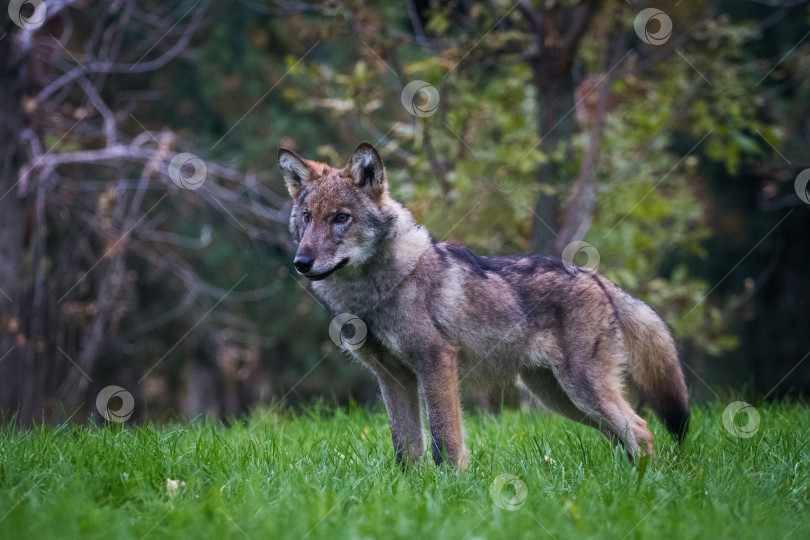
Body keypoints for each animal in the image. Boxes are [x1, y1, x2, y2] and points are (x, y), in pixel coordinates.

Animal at [278, 141, 688, 466]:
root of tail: (594, 275)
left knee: (641, 430)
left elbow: (445, 441)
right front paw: (409, 491)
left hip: (580, 391)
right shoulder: (393, 378)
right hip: (560, 399)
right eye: (308, 218)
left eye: (340, 218)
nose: (301, 262)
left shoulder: (436, 363)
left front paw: (449, 488)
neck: (373, 292)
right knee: (623, 436)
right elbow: (406, 450)